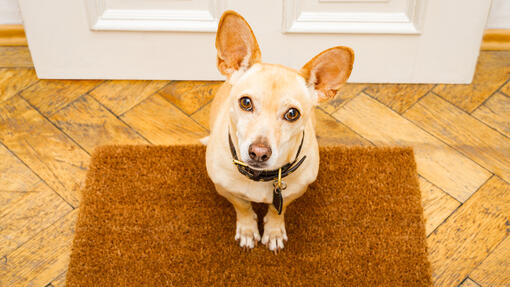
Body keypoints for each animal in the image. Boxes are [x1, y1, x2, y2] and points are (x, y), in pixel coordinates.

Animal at [205, 10, 352, 253]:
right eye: (246, 102)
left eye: (292, 114)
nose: (259, 152)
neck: (260, 178)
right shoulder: (225, 189)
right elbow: (242, 206)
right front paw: (247, 229)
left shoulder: (294, 192)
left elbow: (277, 209)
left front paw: (273, 231)